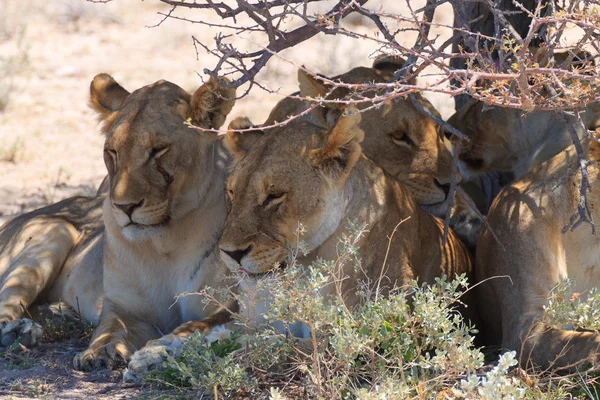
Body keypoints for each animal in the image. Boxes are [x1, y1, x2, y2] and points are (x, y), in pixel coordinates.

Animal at [0, 73, 239, 374]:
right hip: (55, 231)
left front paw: (157, 350)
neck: (167, 241)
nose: (125, 207)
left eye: (158, 150)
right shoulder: (124, 309)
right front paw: (98, 352)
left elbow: (195, 327)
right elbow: (109, 329)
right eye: (112, 151)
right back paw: (19, 331)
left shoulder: (232, 306)